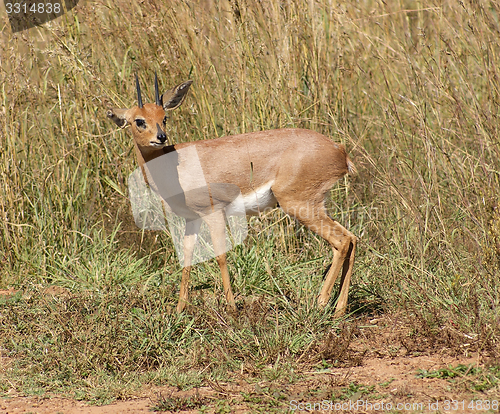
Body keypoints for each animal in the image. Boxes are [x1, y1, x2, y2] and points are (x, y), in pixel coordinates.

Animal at [106, 74, 356, 316]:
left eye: (164, 117)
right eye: (139, 120)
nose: (161, 137)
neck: (175, 163)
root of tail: (340, 151)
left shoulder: (213, 212)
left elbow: (220, 255)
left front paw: (232, 307)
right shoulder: (192, 219)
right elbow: (187, 257)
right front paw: (179, 309)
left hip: (300, 205)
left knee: (341, 241)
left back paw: (321, 302)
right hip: (314, 205)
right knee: (351, 239)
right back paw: (339, 309)